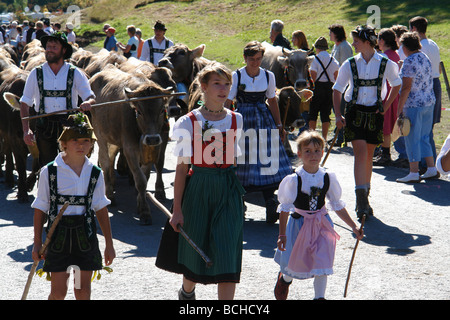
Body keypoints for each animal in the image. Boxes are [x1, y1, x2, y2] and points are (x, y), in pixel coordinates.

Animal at [89, 65, 176, 225]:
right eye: (139, 112)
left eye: (162, 110)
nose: (152, 139)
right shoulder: (130, 149)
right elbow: (140, 180)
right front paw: (145, 212)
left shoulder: (151, 149)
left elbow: (145, 176)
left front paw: (140, 204)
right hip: (100, 134)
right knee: (105, 161)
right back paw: (110, 194)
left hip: (113, 138)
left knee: (111, 157)